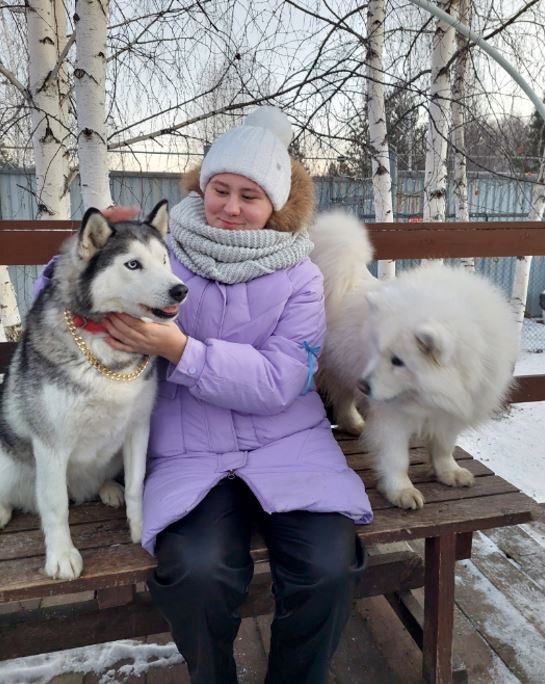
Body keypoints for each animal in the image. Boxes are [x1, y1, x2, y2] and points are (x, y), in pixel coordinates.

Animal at [0, 202, 187, 576]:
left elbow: (136, 484)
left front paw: (140, 528)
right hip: (7, 464)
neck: (103, 350)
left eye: (163, 260)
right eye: (133, 264)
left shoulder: (138, 428)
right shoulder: (51, 444)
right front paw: (61, 556)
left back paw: (107, 489)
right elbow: (55, 504)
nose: (180, 290)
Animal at [310, 211, 520, 510]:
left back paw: (354, 423)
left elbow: (444, 447)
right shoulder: (393, 416)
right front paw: (401, 491)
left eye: (398, 361)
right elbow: (397, 458)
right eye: (377, 350)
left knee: (343, 398)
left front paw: (449, 472)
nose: (365, 386)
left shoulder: (450, 413)